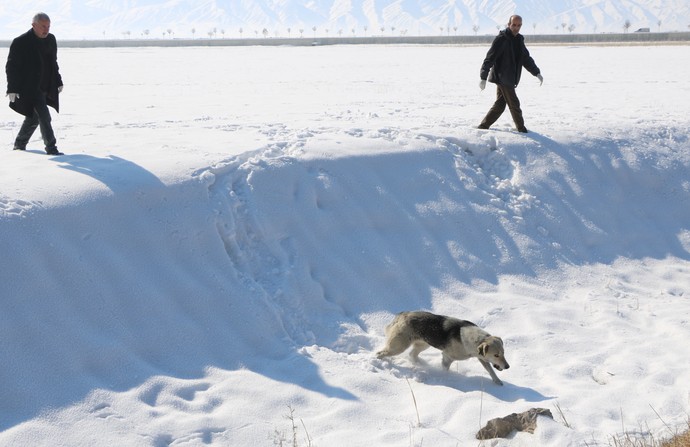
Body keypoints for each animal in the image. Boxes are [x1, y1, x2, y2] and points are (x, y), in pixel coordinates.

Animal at [374, 312, 508, 384]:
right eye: (496, 355)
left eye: (503, 353)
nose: (507, 367)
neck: (477, 340)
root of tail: (402, 315)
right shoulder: (447, 357)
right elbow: (445, 370)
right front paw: (446, 379)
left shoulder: (482, 358)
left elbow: (490, 370)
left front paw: (497, 381)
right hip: (398, 347)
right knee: (380, 353)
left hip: (424, 343)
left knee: (412, 354)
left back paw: (420, 364)